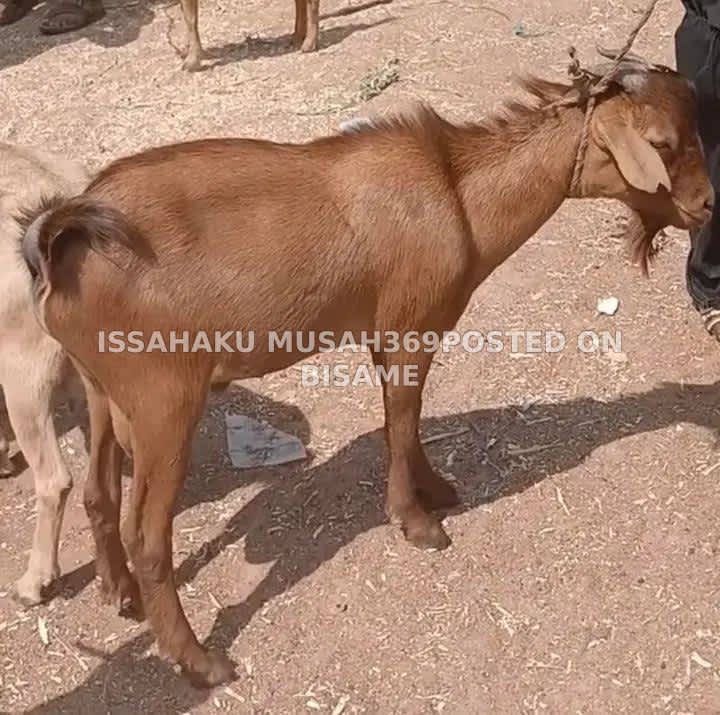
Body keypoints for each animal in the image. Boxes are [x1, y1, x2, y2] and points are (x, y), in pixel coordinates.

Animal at [20, 60, 713, 686]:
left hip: (101, 387)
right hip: (163, 398)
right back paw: (200, 661)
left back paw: (121, 594)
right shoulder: (411, 327)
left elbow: (401, 421)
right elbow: (402, 421)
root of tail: (63, 237)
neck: (460, 195)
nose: (707, 204)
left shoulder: (386, 335)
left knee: (98, 492)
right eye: (662, 144)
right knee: (148, 533)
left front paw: (438, 489)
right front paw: (418, 521)